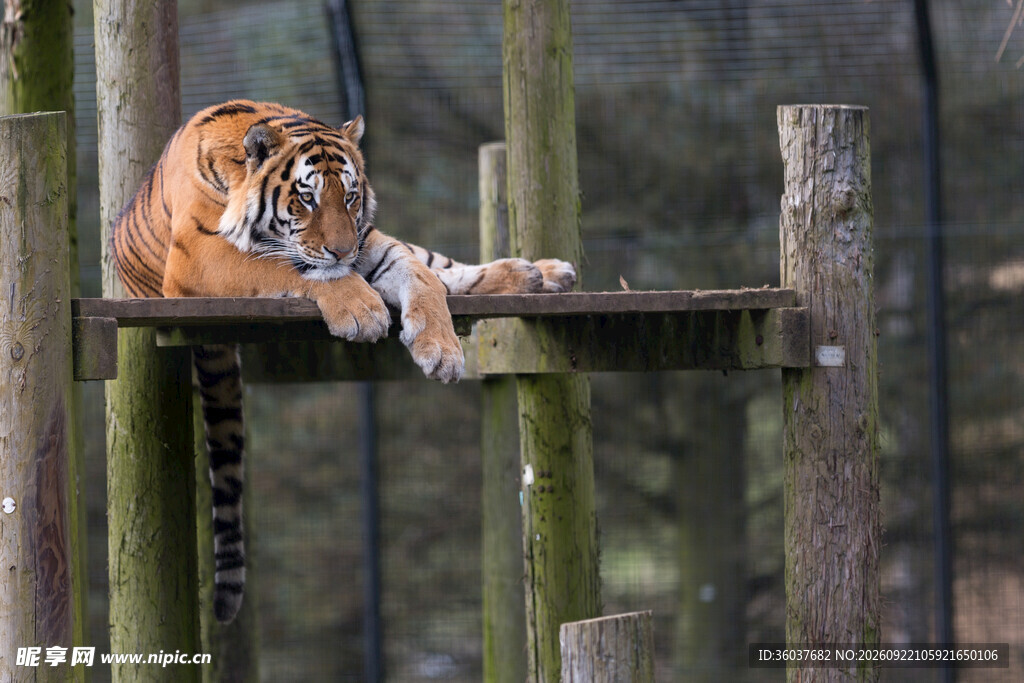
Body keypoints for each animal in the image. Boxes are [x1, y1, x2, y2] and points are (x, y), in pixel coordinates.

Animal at [110, 99, 576, 623]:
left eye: (351, 197)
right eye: (307, 199)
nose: (344, 249)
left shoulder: (369, 236)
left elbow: (417, 273)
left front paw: (440, 348)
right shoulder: (202, 258)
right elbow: (287, 266)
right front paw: (362, 309)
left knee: (441, 266)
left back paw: (540, 273)